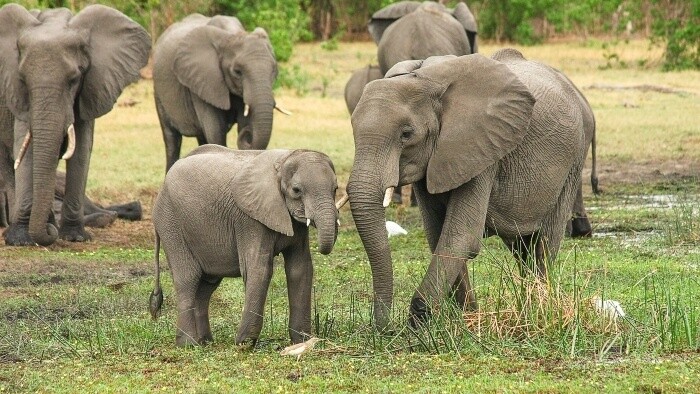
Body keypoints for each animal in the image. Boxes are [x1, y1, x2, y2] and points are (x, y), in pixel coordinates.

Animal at [0, 3, 150, 246]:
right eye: (23, 80)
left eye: (74, 80)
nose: (49, 233)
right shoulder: (16, 95)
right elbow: (25, 148)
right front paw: (20, 240)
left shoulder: (90, 87)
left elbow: (81, 150)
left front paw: (74, 237)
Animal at [150, 144, 344, 344]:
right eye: (296, 190)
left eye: (335, 188)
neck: (283, 161)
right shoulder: (249, 219)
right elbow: (259, 269)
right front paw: (244, 344)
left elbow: (300, 269)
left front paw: (302, 341)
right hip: (170, 224)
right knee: (188, 278)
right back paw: (189, 344)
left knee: (206, 285)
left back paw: (205, 342)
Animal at [153, 14, 284, 171]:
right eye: (237, 72)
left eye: (274, 70)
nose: (248, 134)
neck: (232, 34)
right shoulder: (203, 81)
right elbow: (216, 131)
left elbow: (243, 122)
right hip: (159, 92)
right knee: (172, 140)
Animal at [348, 51, 592, 330]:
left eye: (406, 134)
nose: (385, 328)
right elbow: (438, 234)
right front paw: (467, 318)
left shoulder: (482, 149)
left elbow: (461, 236)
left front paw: (419, 322)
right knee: (522, 246)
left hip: (574, 160)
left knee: (545, 242)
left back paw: (538, 309)